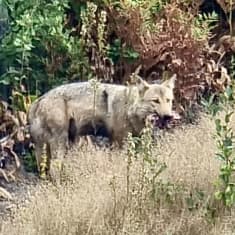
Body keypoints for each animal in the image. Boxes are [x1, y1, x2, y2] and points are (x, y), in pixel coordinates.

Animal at [28, 74, 176, 181]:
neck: (129, 107)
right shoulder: (119, 143)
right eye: (155, 101)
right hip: (61, 143)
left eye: (168, 100)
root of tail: (39, 100)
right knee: (54, 168)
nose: (168, 116)